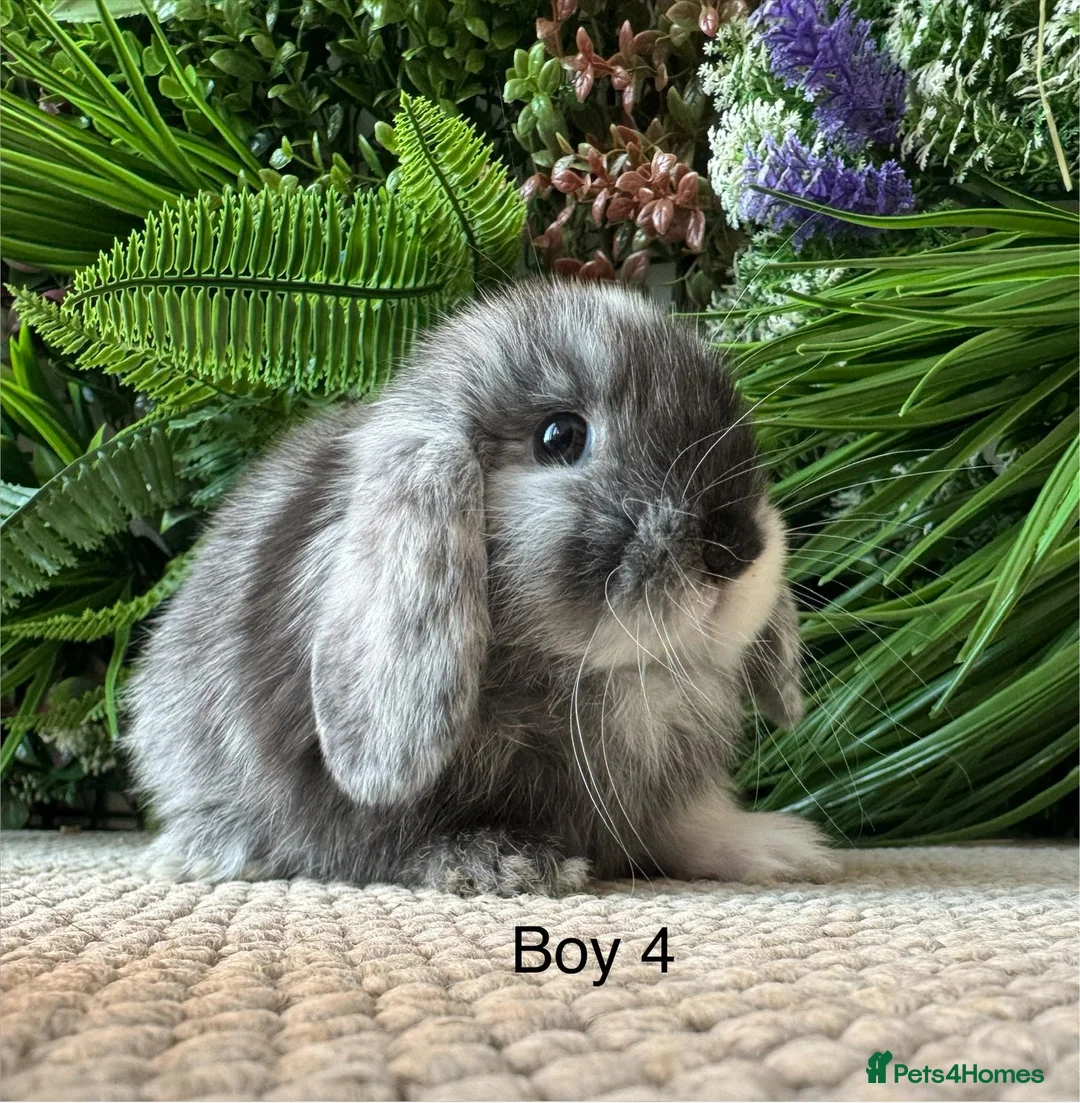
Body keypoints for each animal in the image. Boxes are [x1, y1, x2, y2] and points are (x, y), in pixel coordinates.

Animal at [123, 279, 838, 895]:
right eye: (559, 436)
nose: (736, 549)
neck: (607, 673)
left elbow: (682, 827)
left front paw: (781, 849)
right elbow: (395, 843)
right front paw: (506, 864)